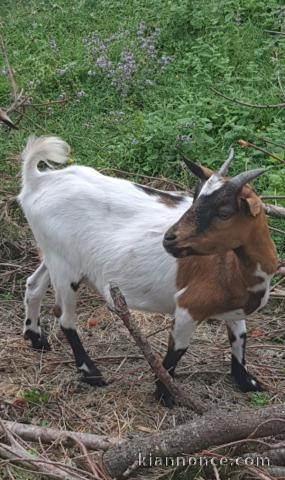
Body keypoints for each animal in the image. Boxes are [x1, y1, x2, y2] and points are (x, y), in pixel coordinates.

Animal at [17, 137, 276, 406]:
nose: (169, 239)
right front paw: (165, 394)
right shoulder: (189, 307)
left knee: (33, 285)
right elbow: (177, 350)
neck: (232, 268)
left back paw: (35, 338)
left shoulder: (235, 309)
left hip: (55, 254)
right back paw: (91, 373)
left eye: (224, 213)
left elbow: (239, 337)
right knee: (64, 317)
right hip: (64, 267)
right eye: (194, 199)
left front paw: (246, 382)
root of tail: (38, 181)